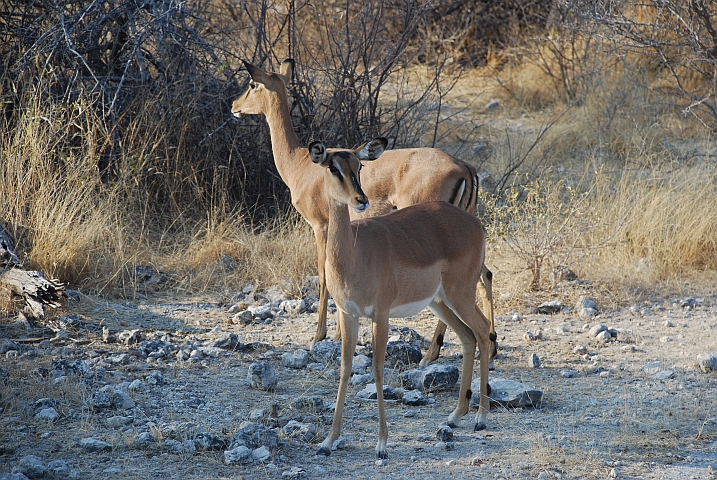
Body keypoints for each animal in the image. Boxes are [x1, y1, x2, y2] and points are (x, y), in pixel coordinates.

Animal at [231, 59, 496, 366]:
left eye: (252, 84)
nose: (234, 105)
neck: (301, 163)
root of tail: (465, 167)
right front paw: (338, 333)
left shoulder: (320, 226)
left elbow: (322, 275)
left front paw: (320, 336)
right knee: (485, 276)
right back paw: (488, 347)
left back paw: (432, 353)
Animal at [308, 138, 492, 459]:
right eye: (333, 167)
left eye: (359, 166)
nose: (360, 200)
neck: (356, 254)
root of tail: (474, 222)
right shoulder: (348, 314)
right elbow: (344, 369)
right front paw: (329, 441)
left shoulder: (380, 315)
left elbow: (378, 370)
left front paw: (382, 443)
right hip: (440, 302)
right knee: (468, 338)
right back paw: (455, 416)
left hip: (460, 295)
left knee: (481, 332)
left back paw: (481, 417)